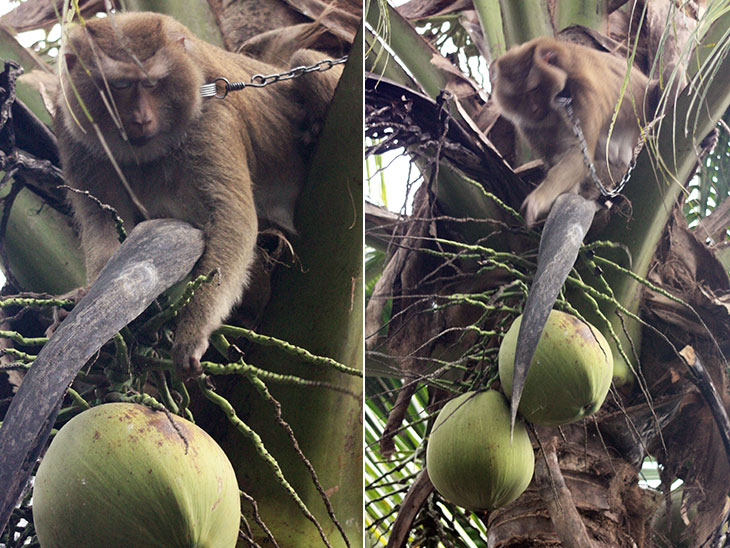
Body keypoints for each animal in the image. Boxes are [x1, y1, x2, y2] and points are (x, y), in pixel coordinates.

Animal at [54, 11, 342, 376]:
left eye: (152, 84)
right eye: (119, 86)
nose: (141, 118)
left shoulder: (209, 113)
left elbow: (232, 217)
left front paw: (192, 332)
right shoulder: (71, 125)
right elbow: (100, 218)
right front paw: (91, 299)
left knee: (303, 61)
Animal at [486, 36, 652, 226]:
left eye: (533, 88)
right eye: (520, 97)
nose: (533, 108)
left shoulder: (584, 92)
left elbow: (580, 157)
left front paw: (539, 199)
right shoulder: (526, 122)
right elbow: (556, 156)